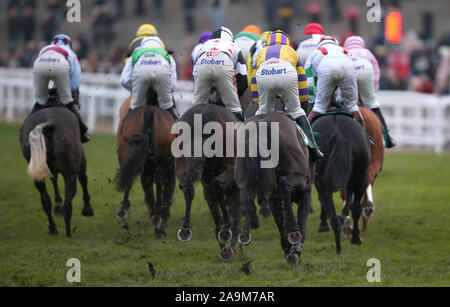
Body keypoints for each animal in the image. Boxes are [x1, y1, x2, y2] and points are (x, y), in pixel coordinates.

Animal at [114, 100, 176, 238]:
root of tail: (150, 111)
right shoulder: (170, 170)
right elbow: (166, 191)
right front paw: (161, 223)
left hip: (128, 152)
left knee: (129, 176)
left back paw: (125, 211)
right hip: (163, 163)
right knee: (158, 181)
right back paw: (157, 218)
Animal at [234, 112, 314, 266]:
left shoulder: (273, 197)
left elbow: (280, 219)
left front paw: (288, 250)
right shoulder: (306, 191)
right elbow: (302, 220)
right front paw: (295, 250)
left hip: (242, 177)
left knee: (246, 197)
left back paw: (245, 235)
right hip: (298, 177)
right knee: (285, 184)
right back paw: (294, 233)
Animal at [312, 113, 370, 255]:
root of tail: (338, 134)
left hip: (323, 183)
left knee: (332, 210)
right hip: (360, 177)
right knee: (355, 207)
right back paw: (354, 238)